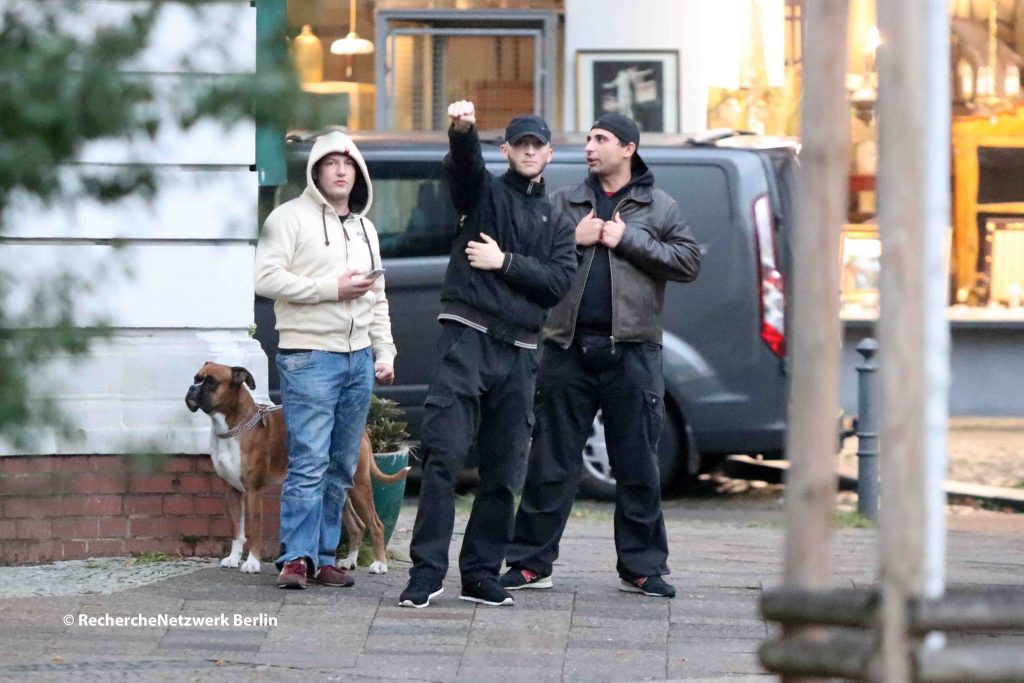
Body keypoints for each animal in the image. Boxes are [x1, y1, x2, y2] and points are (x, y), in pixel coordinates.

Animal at [184, 362, 407, 577]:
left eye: (211, 382)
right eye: (196, 378)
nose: (191, 388)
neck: (234, 426)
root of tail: (362, 432)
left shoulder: (253, 492)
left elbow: (254, 530)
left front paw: (252, 563)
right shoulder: (231, 491)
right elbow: (237, 529)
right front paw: (233, 558)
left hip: (359, 486)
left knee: (376, 525)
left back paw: (380, 564)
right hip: (338, 488)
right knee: (357, 526)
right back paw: (349, 561)